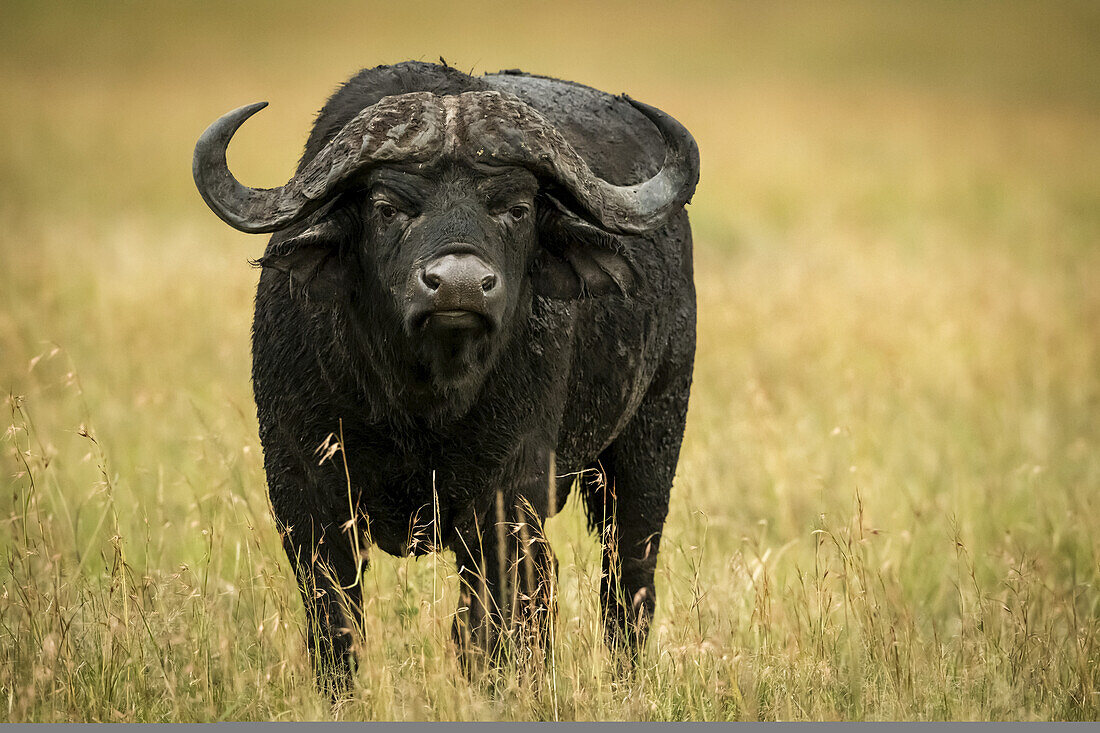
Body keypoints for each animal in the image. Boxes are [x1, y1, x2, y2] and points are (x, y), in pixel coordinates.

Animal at [193, 61, 699, 686]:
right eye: (387, 207)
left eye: (516, 208)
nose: (458, 285)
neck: (418, 401)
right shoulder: (303, 493)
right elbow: (336, 622)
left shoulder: (506, 499)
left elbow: (494, 622)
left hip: (651, 440)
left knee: (626, 579)